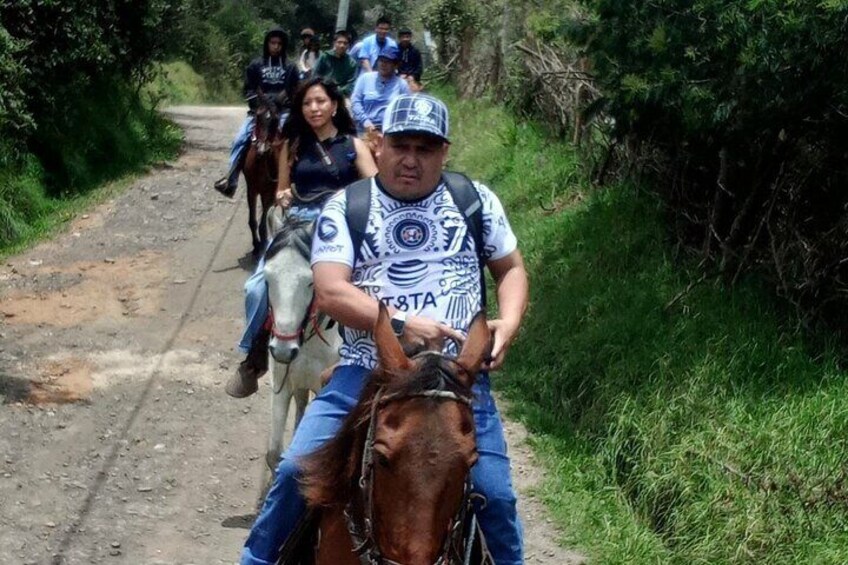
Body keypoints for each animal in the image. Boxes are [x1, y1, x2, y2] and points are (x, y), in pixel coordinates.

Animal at [243, 97, 284, 256]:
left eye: (275, 119)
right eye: (257, 116)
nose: (262, 149)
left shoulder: (270, 193)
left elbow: (263, 222)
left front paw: (264, 243)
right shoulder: (251, 190)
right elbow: (253, 221)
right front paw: (256, 245)